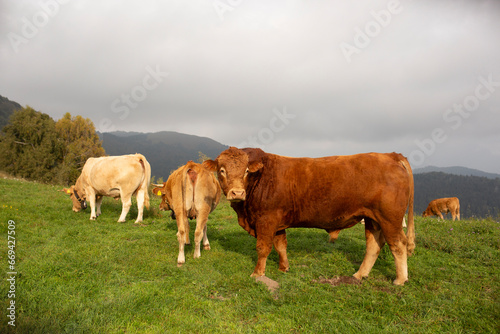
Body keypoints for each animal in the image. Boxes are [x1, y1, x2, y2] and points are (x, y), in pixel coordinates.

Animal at [201, 147, 416, 286]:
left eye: (246, 171)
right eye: (222, 170)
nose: (237, 193)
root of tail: (391, 155)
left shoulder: (266, 220)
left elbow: (263, 248)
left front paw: (257, 273)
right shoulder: (277, 222)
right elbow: (281, 245)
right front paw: (284, 268)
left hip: (390, 219)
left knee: (398, 244)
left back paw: (400, 280)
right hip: (372, 219)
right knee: (374, 245)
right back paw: (359, 275)